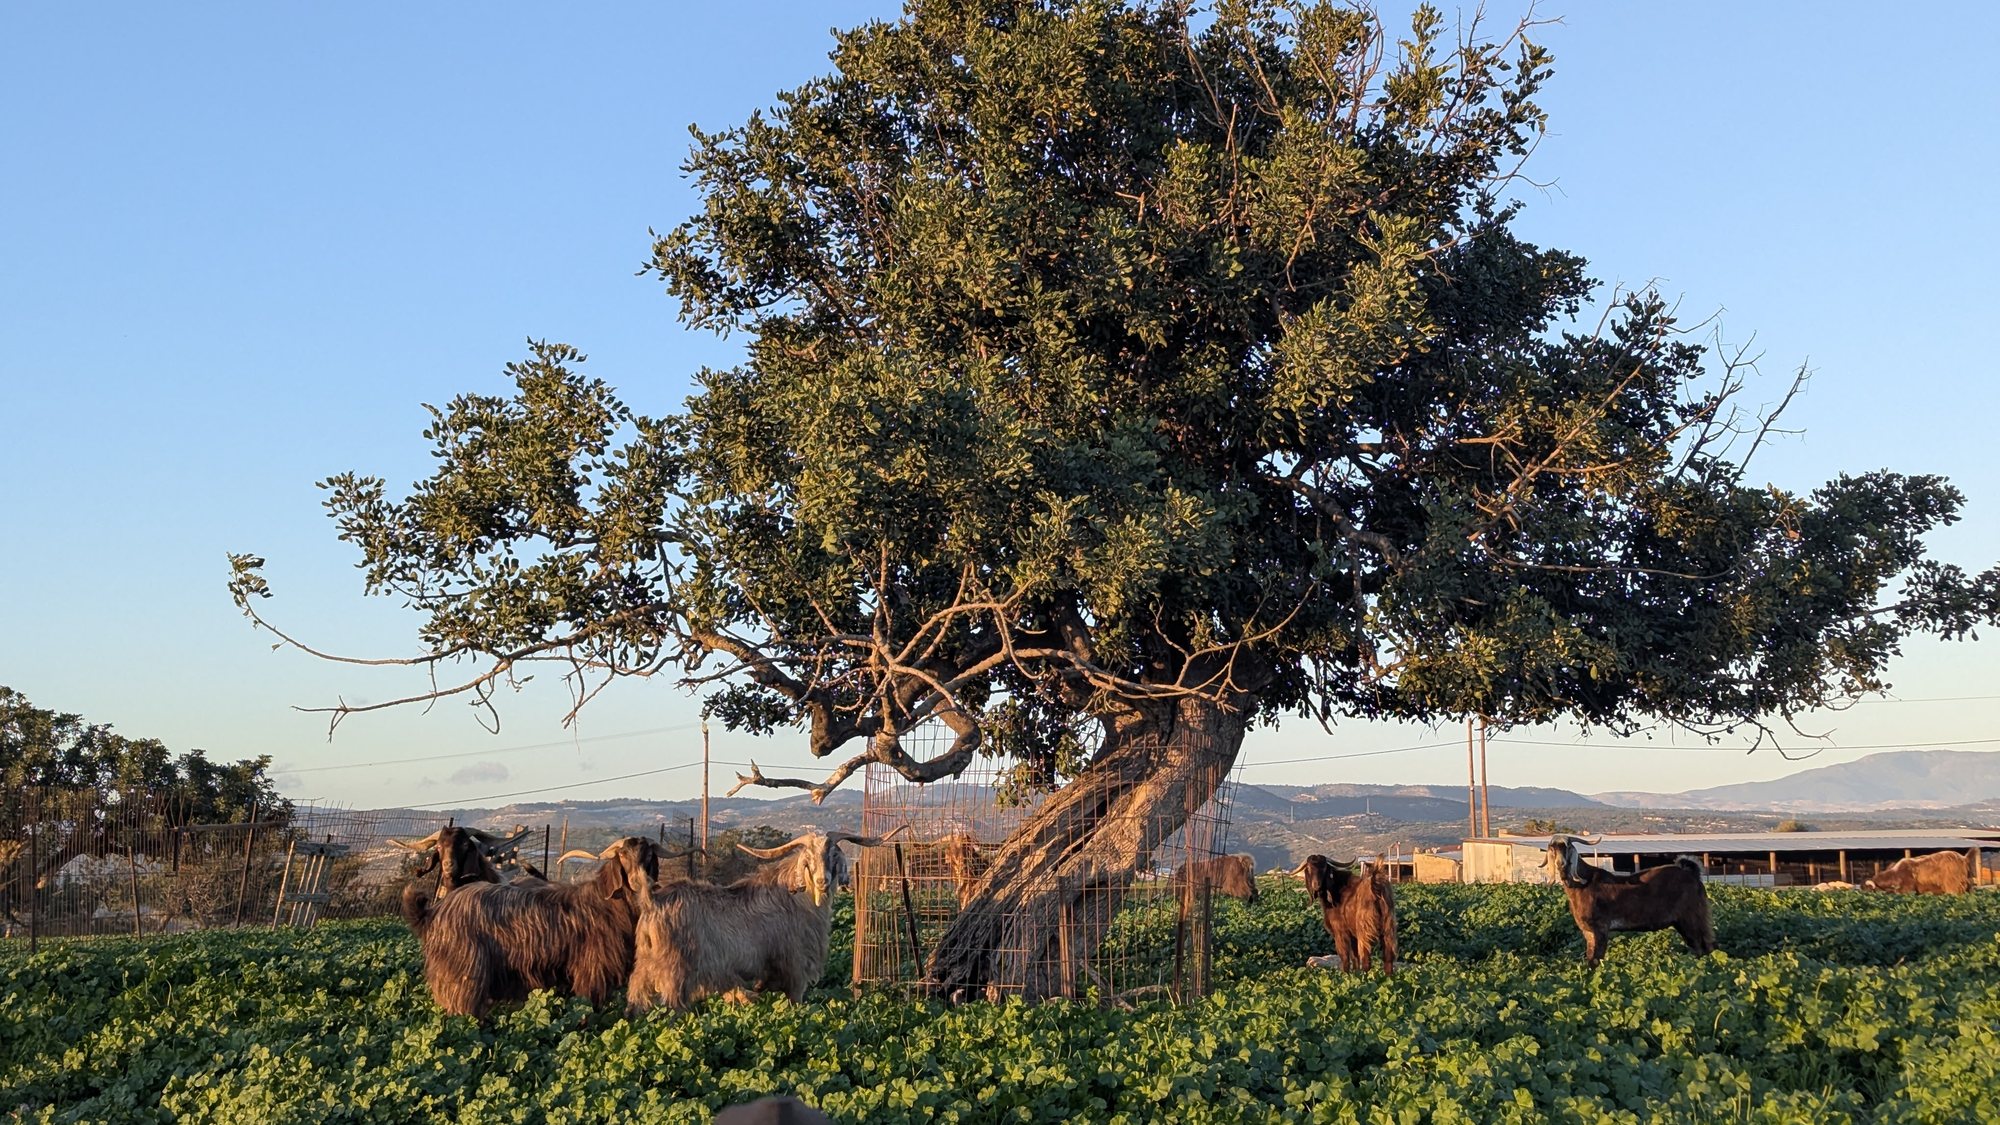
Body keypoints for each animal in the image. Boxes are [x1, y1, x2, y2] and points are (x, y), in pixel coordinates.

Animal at [402, 836, 660, 1018]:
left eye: (649, 856)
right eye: (623, 856)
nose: (641, 882)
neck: (606, 901)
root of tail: (432, 913)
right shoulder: (591, 973)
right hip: (464, 976)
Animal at [626, 828, 896, 1014]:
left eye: (831, 854)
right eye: (808, 857)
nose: (822, 881)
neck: (796, 898)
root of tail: (652, 900)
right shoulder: (794, 970)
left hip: (644, 968)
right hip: (675, 973)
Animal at [1544, 834, 1715, 966]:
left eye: (1567, 847)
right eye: (1552, 848)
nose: (1561, 864)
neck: (1582, 884)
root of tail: (1693, 874)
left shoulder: (1600, 928)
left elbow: (1596, 960)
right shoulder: (1588, 931)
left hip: (1691, 918)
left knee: (1703, 946)